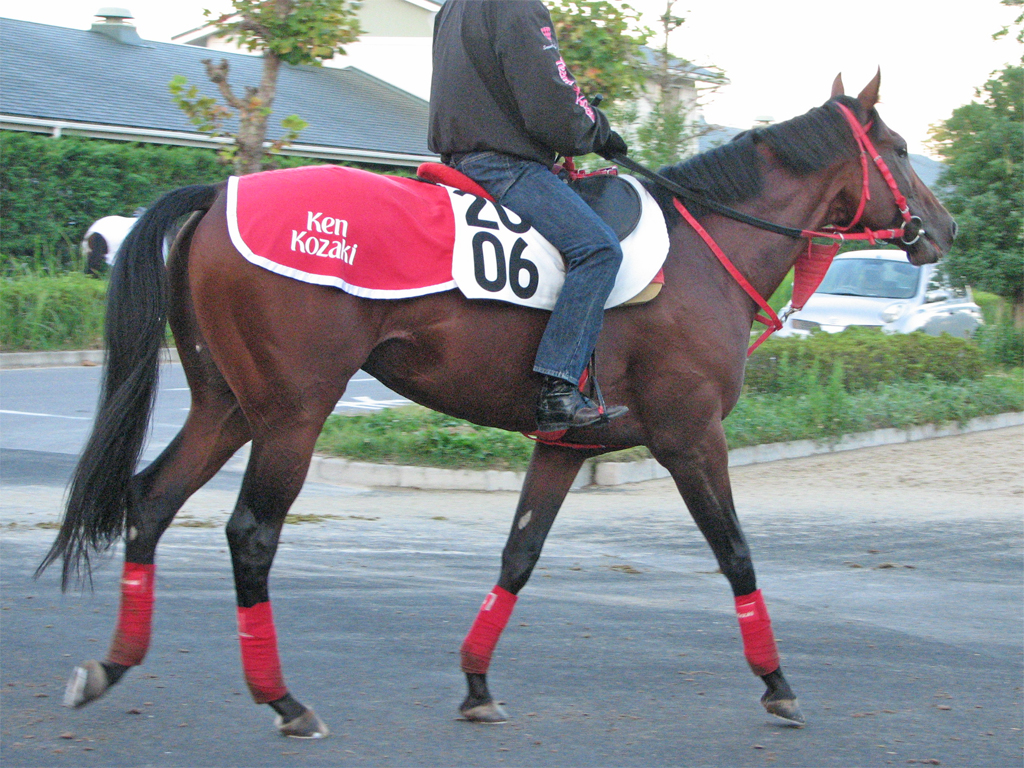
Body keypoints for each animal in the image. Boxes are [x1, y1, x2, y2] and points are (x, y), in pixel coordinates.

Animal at [37, 73, 950, 741]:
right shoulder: (691, 438)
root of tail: (222, 191)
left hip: (228, 405)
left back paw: (112, 665)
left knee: (151, 499)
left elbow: (519, 556)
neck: (702, 252)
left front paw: (476, 682)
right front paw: (778, 683)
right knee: (251, 534)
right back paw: (283, 700)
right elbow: (737, 555)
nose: (940, 229)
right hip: (291, 415)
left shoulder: (565, 445)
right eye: (901, 149)